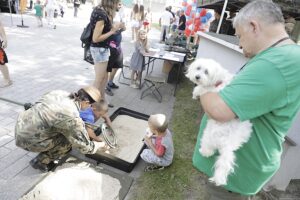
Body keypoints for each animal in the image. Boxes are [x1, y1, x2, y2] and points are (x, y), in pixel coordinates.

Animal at [186, 57, 252, 186]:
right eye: (198, 68)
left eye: (206, 72)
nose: (197, 77)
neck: (219, 78)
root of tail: (227, 141)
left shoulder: (210, 90)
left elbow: (200, 89)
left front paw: (195, 93)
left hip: (207, 135)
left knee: (206, 147)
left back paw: (202, 151)